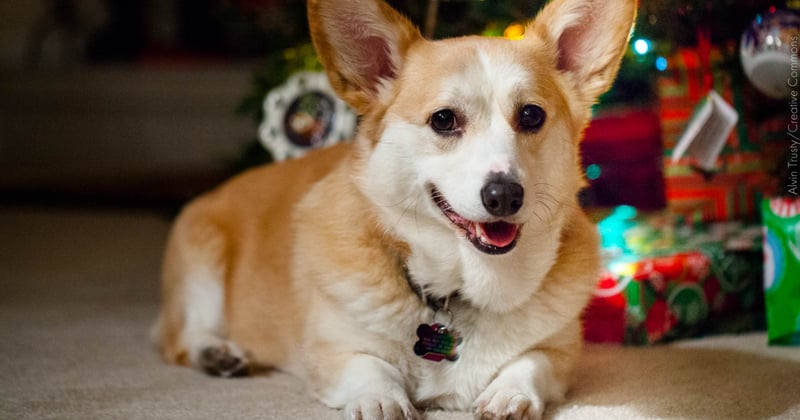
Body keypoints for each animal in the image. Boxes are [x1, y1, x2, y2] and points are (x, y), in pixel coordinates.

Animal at [152, 0, 636, 416]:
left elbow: (530, 364)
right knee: (179, 340)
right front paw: (381, 401)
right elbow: (371, 368)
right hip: (203, 265)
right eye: (444, 119)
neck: (458, 290)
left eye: (532, 116)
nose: (504, 195)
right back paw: (217, 353)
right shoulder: (334, 353)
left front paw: (509, 394)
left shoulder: (559, 354)